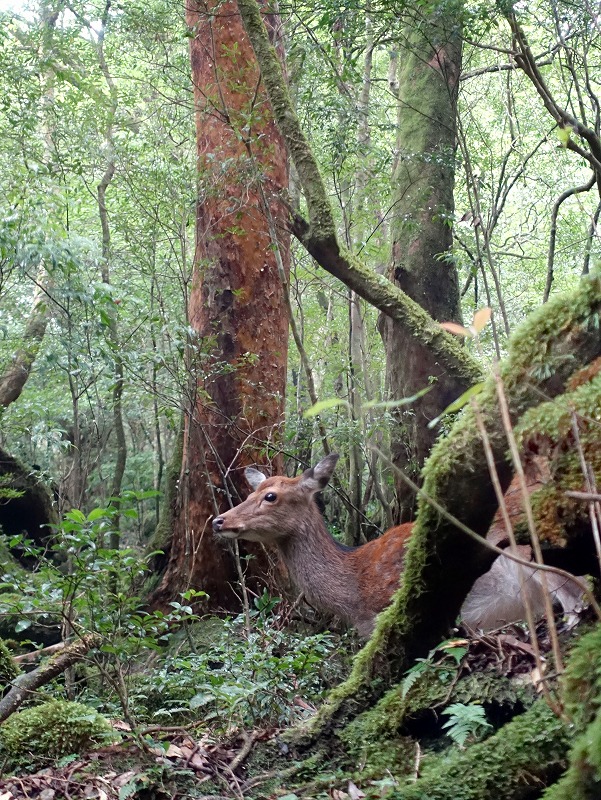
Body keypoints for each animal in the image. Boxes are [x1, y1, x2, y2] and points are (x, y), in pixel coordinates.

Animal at [210, 456, 580, 636]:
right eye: (251, 493)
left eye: (271, 496)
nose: (219, 520)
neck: (354, 597)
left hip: (531, 551)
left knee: (573, 599)